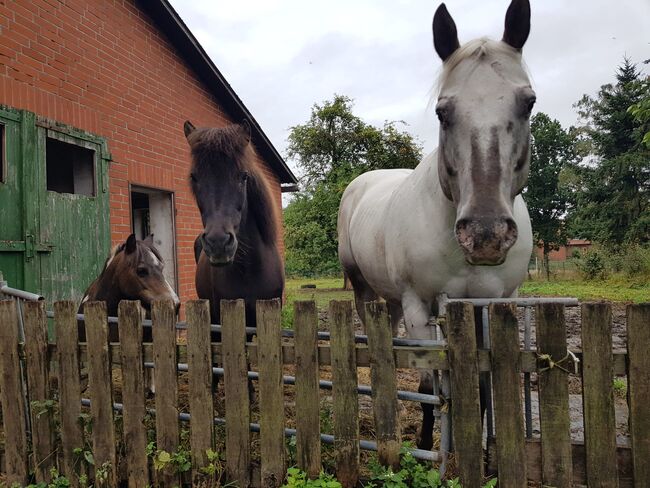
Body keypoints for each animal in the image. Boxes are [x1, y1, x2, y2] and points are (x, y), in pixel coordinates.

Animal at [340, 0, 532, 450]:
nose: (485, 235)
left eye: (529, 102)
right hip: (365, 291)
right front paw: (427, 442)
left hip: (391, 300)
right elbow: (431, 383)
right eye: (443, 112)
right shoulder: (419, 306)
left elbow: (480, 385)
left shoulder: (489, 306)